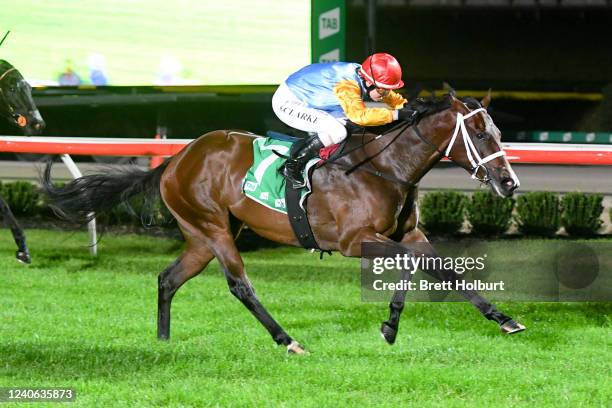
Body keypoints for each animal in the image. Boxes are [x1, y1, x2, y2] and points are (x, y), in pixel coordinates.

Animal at [43, 92, 524, 354]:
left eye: (499, 133)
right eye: (480, 134)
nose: (509, 183)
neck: (384, 167)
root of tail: (176, 159)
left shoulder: (409, 233)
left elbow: (446, 271)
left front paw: (503, 318)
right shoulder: (355, 240)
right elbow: (408, 265)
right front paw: (389, 326)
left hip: (202, 236)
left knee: (168, 278)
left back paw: (162, 341)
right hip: (214, 228)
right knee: (240, 285)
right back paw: (287, 340)